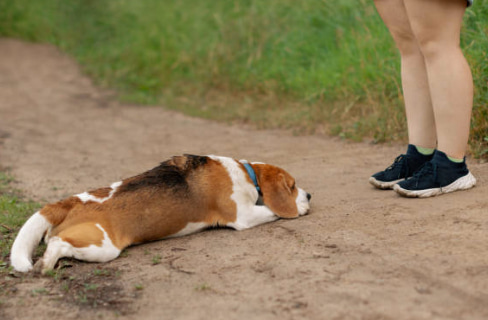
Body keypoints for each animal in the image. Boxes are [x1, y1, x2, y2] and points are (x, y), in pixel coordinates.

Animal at [11, 154, 312, 272]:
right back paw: (45, 265)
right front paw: (298, 207)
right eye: (292, 186)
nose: (309, 195)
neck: (246, 172)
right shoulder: (245, 216)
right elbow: (271, 210)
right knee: (57, 244)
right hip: (102, 246)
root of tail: (72, 201)